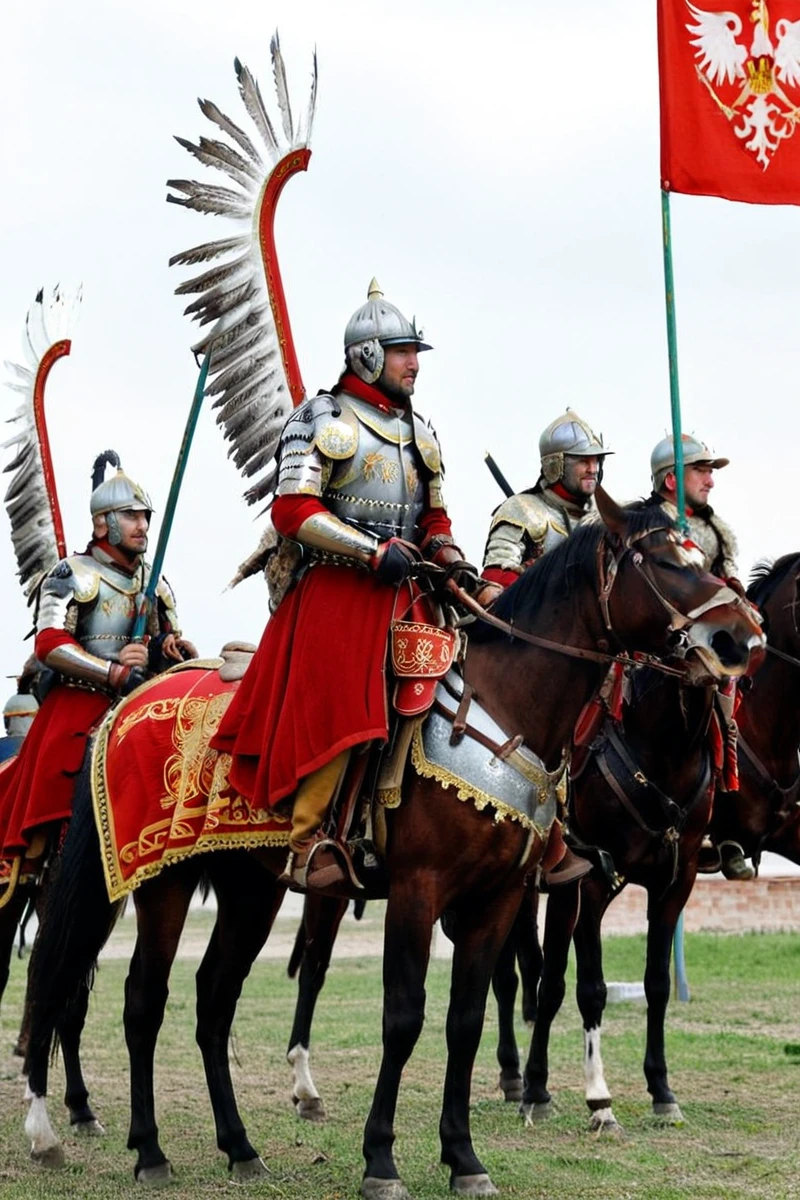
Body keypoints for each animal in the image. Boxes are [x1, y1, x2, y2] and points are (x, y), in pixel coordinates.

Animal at [23, 492, 762, 1195]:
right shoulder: (418, 889)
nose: (743, 637)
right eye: (664, 561)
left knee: (212, 1000)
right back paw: (145, 1150)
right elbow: (404, 1018)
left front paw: (463, 1157)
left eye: (701, 557)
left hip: (250, 888)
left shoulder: (499, 899)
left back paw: (240, 1148)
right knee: (141, 1002)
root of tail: (125, 706)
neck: (504, 708)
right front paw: (381, 1159)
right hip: (162, 880)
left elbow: (465, 1019)